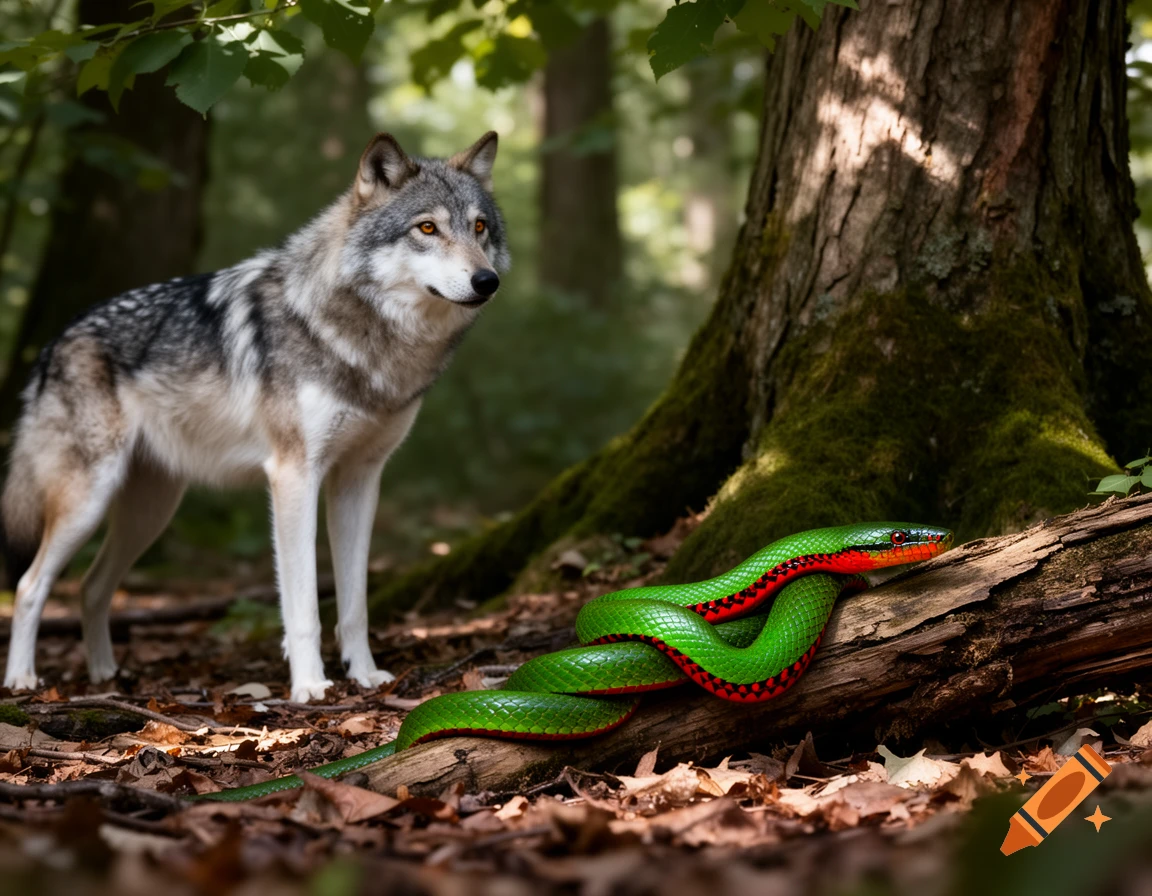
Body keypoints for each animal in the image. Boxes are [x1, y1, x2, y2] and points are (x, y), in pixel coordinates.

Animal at [1, 132, 509, 702]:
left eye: (480, 227)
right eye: (427, 228)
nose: (486, 280)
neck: (369, 344)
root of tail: (54, 342)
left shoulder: (359, 481)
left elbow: (354, 602)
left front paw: (364, 674)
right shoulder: (293, 476)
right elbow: (304, 604)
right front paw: (310, 686)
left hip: (148, 513)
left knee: (91, 587)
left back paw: (105, 676)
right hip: (88, 500)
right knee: (30, 584)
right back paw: (22, 679)